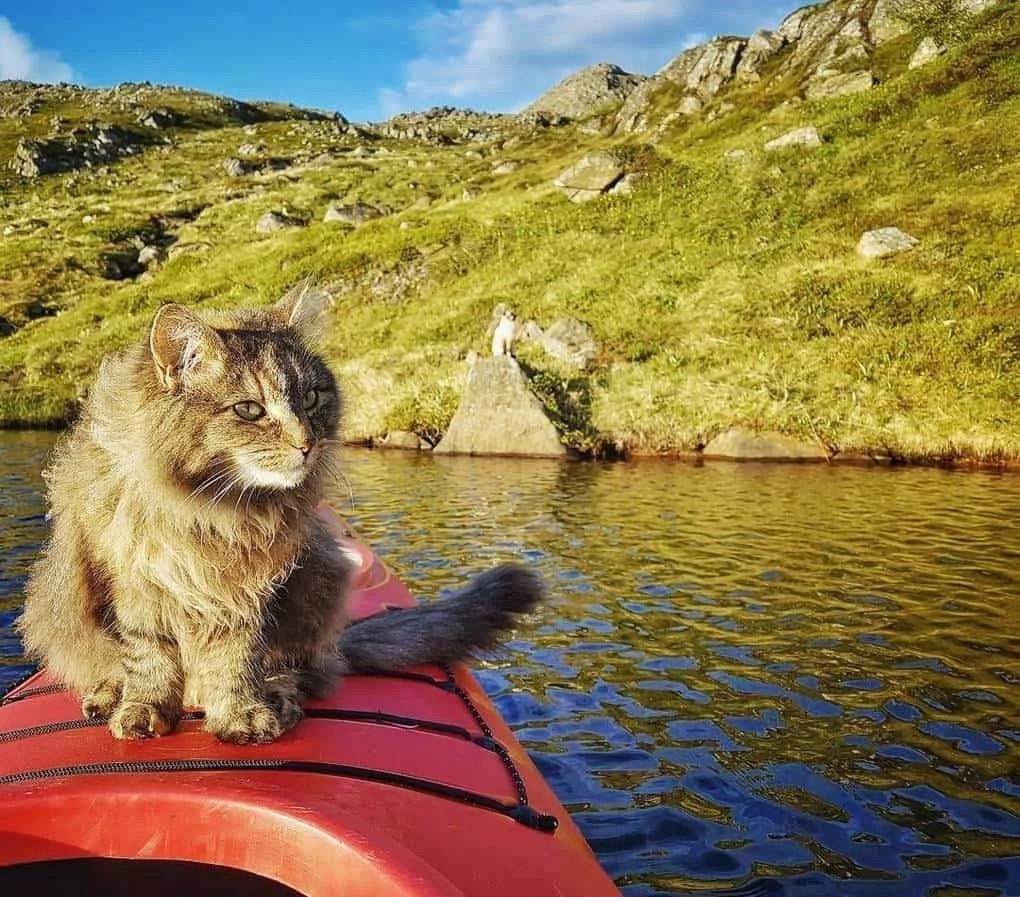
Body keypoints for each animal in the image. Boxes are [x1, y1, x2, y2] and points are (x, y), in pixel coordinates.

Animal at [17, 285, 542, 742]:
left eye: (310, 397)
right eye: (249, 410)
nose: (306, 443)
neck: (212, 511)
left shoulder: (247, 594)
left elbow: (235, 663)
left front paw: (240, 716)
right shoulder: (136, 585)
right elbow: (149, 660)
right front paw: (143, 712)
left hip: (318, 585)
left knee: (303, 670)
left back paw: (278, 697)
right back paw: (109, 693)